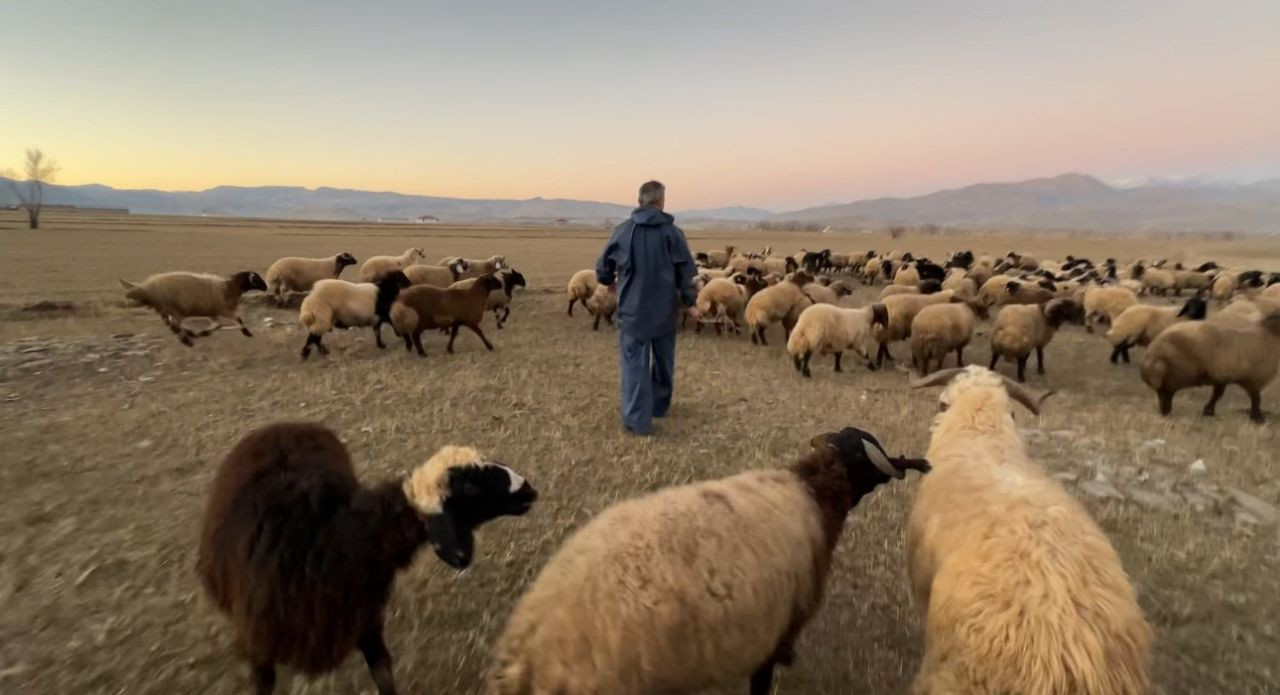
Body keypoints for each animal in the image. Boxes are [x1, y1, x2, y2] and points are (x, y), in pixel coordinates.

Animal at [120, 271, 268, 348]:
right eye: (257, 279)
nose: (266, 287)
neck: (229, 288)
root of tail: (146, 287)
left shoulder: (214, 312)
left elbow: (218, 325)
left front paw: (204, 332)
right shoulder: (223, 310)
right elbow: (238, 320)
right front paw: (246, 332)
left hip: (169, 309)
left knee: (172, 324)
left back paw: (188, 335)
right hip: (174, 309)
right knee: (174, 325)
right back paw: (187, 340)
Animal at [197, 422, 537, 695]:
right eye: (470, 485)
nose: (529, 489)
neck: (334, 541)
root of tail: (281, 424)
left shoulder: (366, 620)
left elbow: (383, 676)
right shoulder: (259, 646)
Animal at [1141, 302, 1280, 422]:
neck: (1270, 334)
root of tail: (1153, 352)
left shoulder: (1223, 377)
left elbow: (1217, 395)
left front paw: (1208, 411)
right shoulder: (1254, 379)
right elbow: (1256, 399)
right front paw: (1257, 417)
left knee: (1162, 393)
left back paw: (1165, 410)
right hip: (1173, 376)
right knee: (1166, 393)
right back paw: (1167, 411)